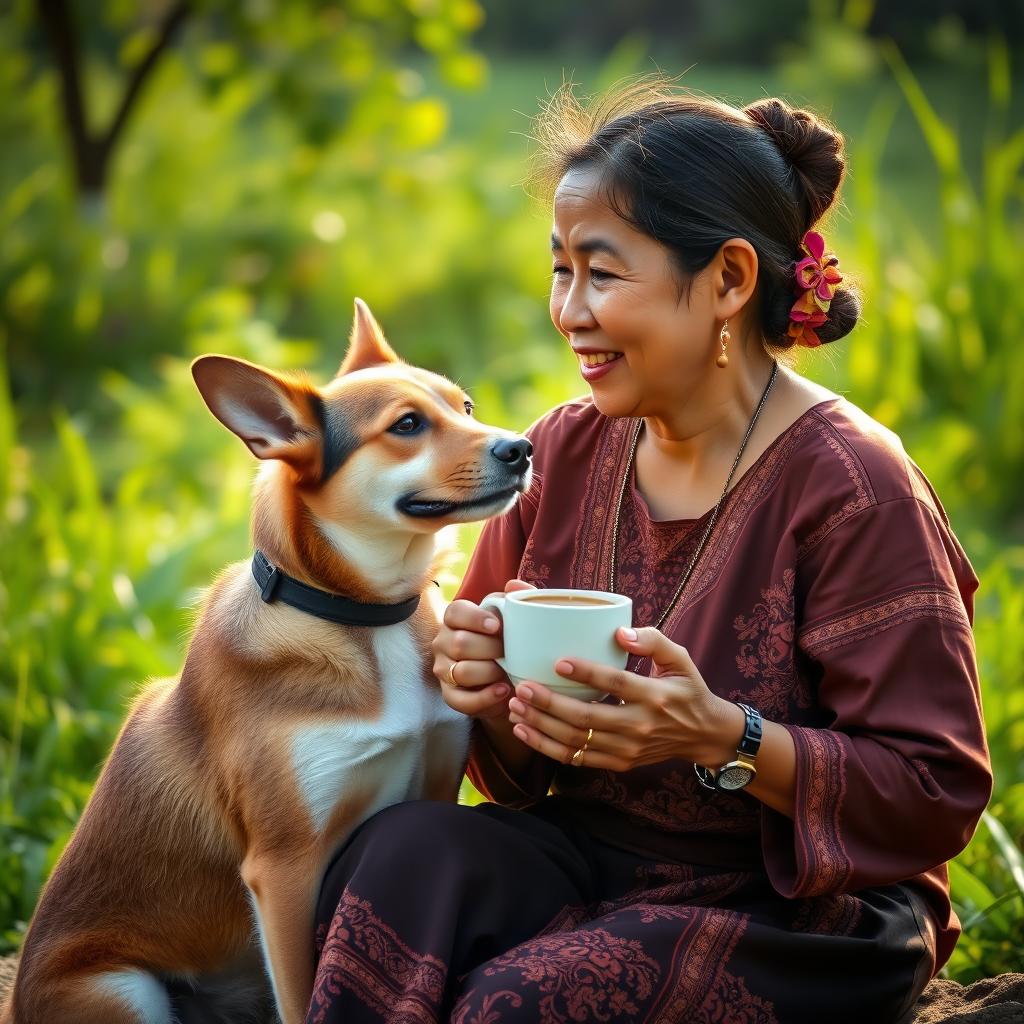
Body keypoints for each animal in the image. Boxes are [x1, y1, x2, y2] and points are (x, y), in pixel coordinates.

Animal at [6, 299, 536, 1019]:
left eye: (467, 405)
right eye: (406, 425)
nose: (521, 447)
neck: (366, 618)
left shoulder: (432, 787)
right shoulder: (286, 867)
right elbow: (301, 995)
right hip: (122, 991)